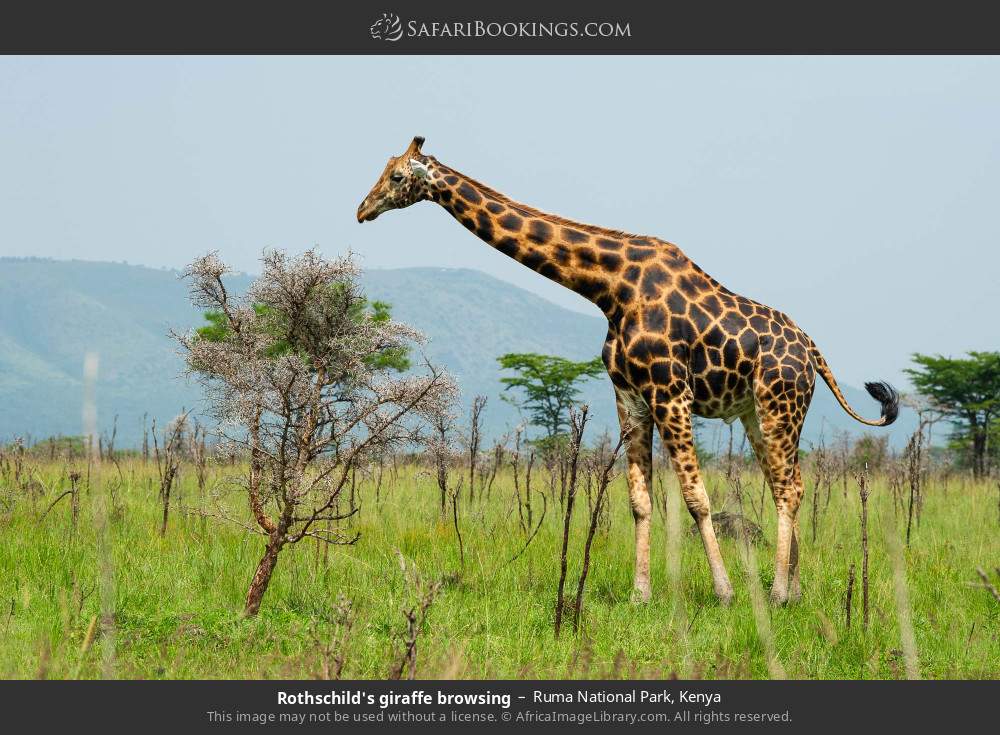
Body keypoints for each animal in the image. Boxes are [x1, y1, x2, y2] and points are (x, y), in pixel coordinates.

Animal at [358, 137, 900, 604]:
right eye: (383, 170)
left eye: (398, 175)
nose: (362, 209)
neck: (609, 287)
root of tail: (813, 351)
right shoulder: (630, 396)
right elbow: (640, 499)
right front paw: (641, 594)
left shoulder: (670, 393)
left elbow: (695, 497)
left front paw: (724, 592)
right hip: (757, 412)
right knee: (791, 484)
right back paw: (797, 589)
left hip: (779, 404)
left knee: (788, 489)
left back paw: (778, 593)